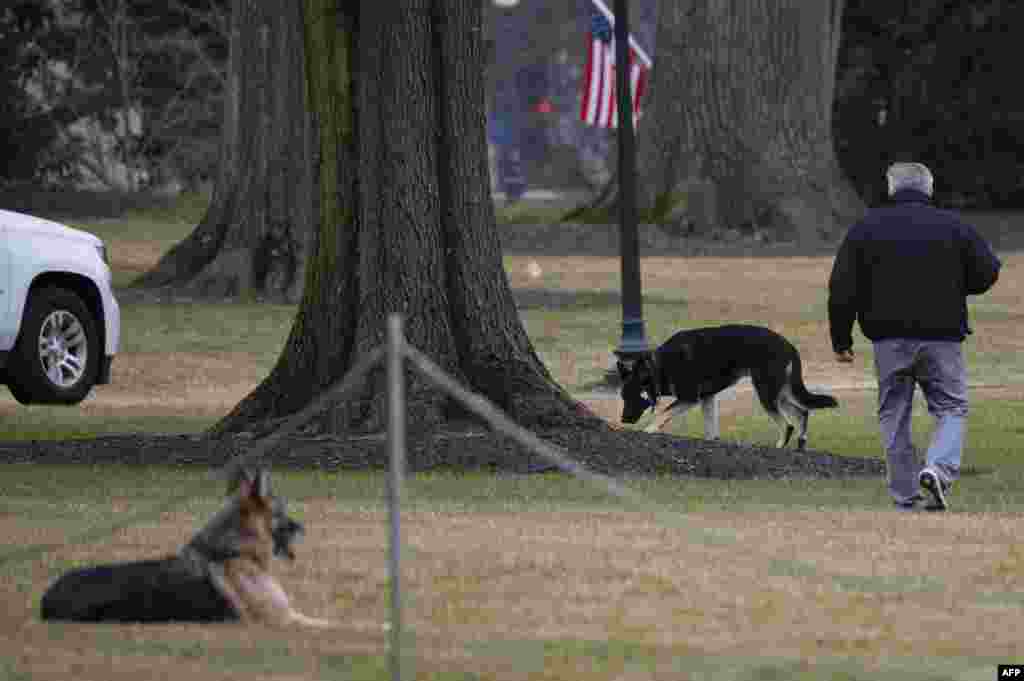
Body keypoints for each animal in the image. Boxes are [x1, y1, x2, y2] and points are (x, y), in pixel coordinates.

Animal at [614, 325, 839, 450]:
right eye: (623, 396)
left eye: (634, 396)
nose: (623, 420)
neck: (658, 366)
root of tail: (789, 346)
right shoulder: (707, 398)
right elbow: (710, 428)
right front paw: (712, 441)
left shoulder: (689, 398)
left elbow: (662, 413)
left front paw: (649, 430)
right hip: (779, 392)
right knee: (802, 412)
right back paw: (801, 443)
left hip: (766, 393)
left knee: (788, 424)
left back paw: (780, 446)